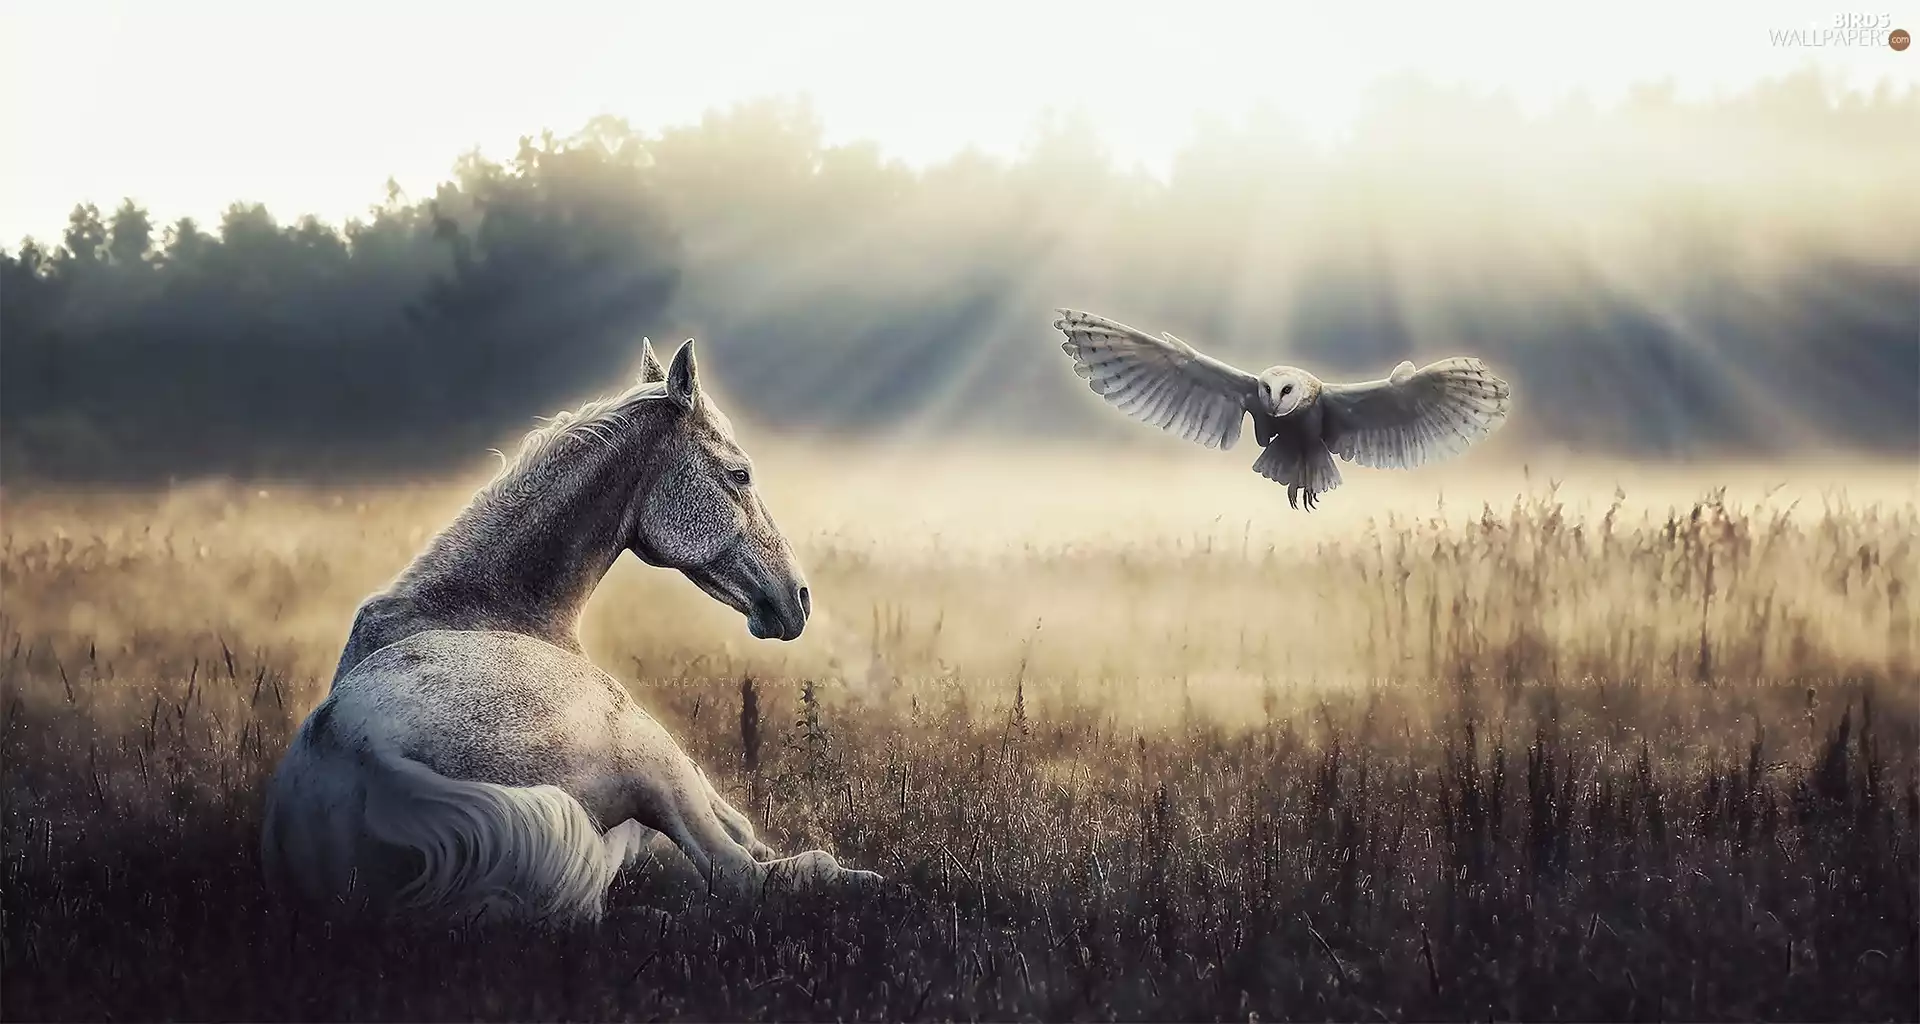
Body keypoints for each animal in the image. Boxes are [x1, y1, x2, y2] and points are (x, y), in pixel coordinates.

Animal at [260, 338, 881, 926]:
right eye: (740, 474)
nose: (797, 599)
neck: (476, 606)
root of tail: (367, 750)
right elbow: (748, 840)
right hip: (649, 752)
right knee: (746, 876)